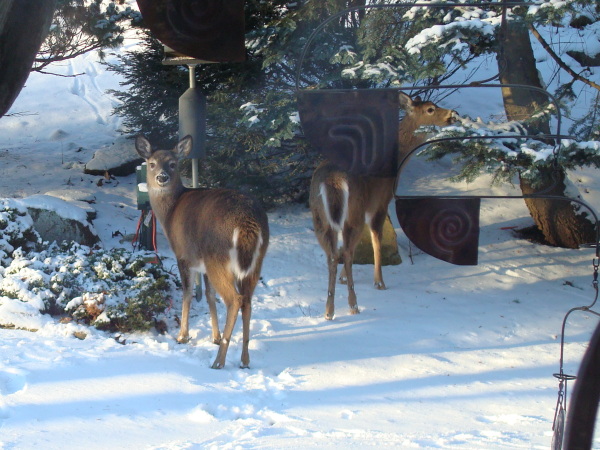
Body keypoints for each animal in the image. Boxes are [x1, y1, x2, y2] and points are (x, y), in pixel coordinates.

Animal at [136, 134, 270, 370]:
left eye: (173, 163)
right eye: (152, 163)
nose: (162, 177)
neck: (169, 213)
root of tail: (247, 222)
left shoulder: (184, 255)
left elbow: (188, 293)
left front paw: (183, 336)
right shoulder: (203, 266)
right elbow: (208, 296)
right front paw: (215, 337)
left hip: (218, 257)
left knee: (234, 299)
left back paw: (219, 361)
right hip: (254, 262)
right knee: (247, 300)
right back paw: (244, 360)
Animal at [310, 92, 454, 320]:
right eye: (430, 109)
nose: (452, 115)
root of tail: (333, 181)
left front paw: (343, 278)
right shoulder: (380, 202)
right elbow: (376, 240)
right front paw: (379, 282)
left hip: (320, 216)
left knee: (333, 255)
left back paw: (328, 310)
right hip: (353, 210)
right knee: (346, 253)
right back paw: (353, 305)